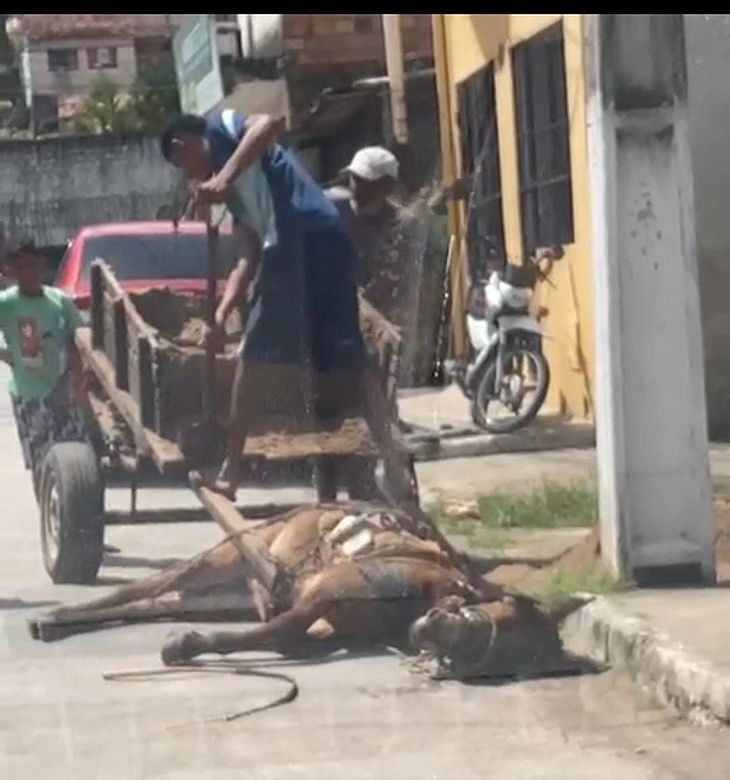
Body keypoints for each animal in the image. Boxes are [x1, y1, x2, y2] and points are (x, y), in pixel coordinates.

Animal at [28, 502, 588, 680]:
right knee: (144, 588)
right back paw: (55, 616)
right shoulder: (319, 596)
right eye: (505, 612)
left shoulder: (323, 619)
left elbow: (288, 636)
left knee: (154, 604)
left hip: (225, 593)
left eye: (513, 659)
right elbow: (276, 631)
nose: (430, 629)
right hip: (218, 560)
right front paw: (187, 646)